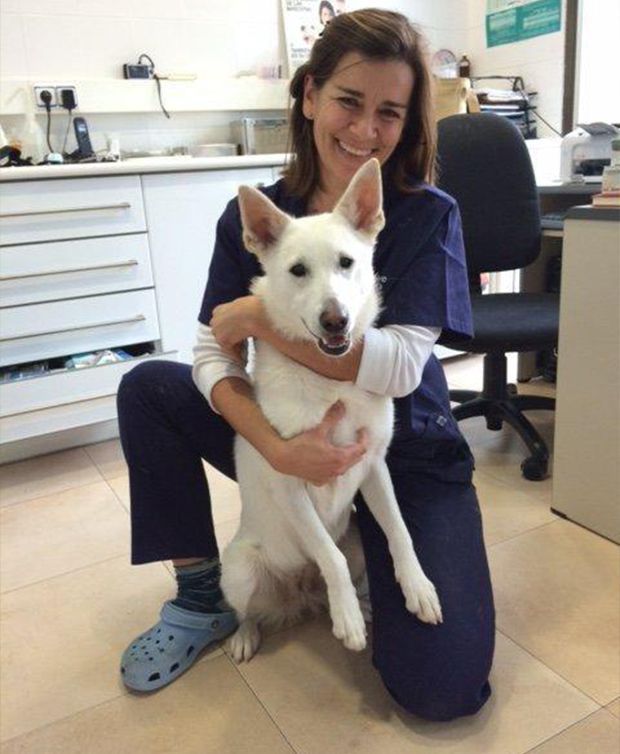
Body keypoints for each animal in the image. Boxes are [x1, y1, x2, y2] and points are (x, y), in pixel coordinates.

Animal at [220, 157, 444, 656]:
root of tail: (299, 593)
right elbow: (328, 555)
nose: (335, 321)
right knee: (246, 610)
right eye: (297, 270)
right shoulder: (290, 486)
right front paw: (348, 620)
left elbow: (399, 530)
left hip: (357, 540)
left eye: (347, 263)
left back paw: (359, 604)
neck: (328, 380)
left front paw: (417, 585)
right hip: (239, 570)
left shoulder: (374, 467)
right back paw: (250, 633)